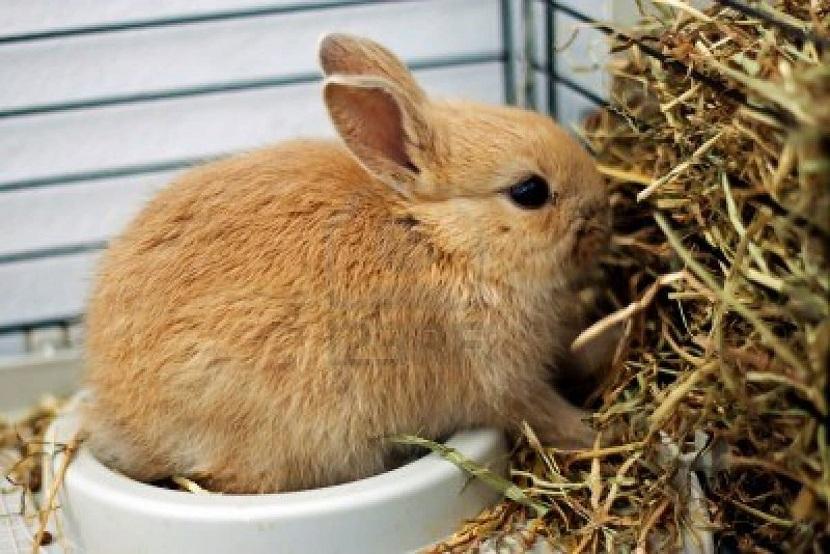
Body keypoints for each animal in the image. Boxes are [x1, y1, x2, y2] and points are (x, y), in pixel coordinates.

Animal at [81, 33, 612, 494]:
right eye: (529, 191)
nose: (602, 213)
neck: (441, 237)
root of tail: (117, 415)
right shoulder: (503, 383)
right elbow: (543, 412)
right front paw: (593, 433)